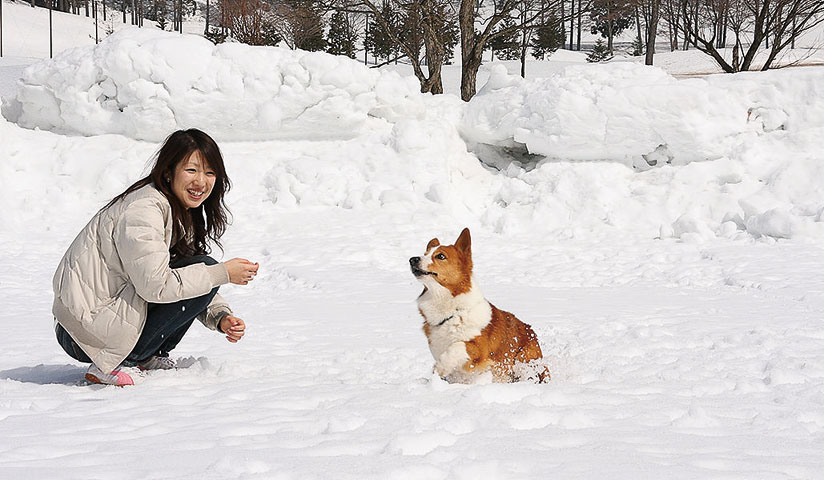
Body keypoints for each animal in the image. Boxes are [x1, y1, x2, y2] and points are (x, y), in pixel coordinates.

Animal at [410, 228, 552, 382]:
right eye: (425, 254)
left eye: (440, 256)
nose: (412, 259)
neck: (454, 313)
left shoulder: (479, 351)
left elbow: (459, 346)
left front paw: (440, 367)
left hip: (524, 360)